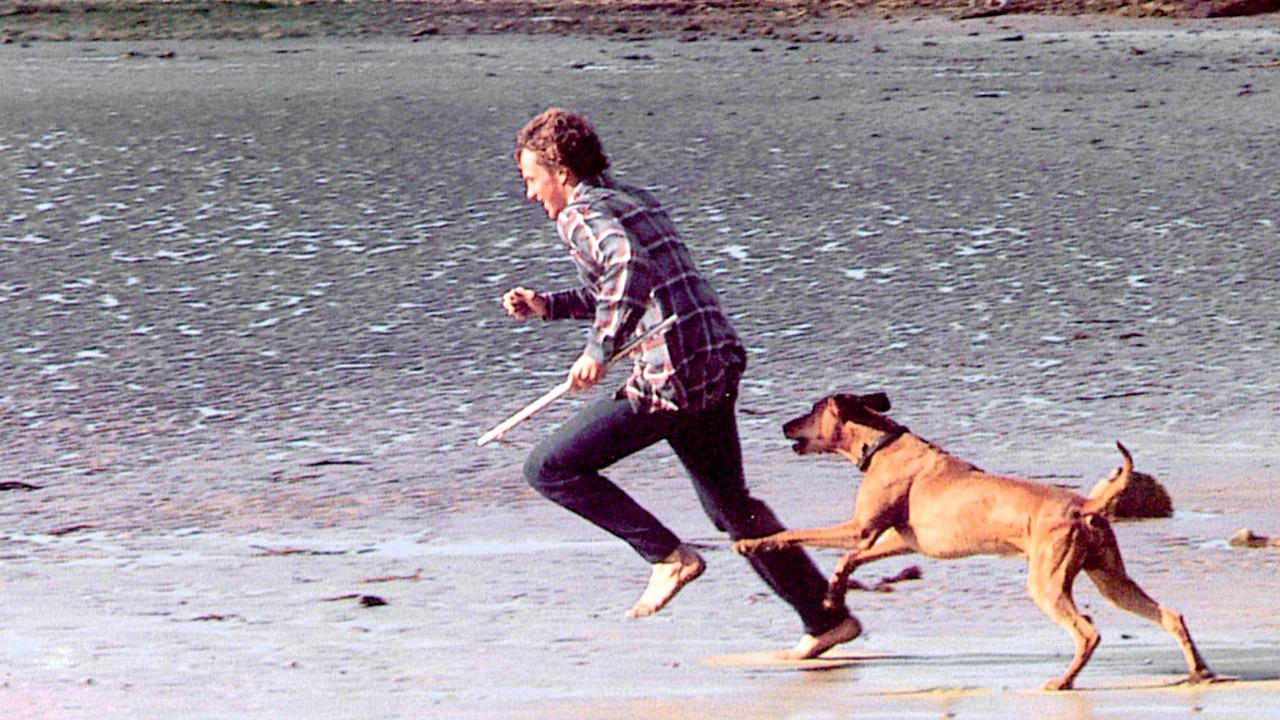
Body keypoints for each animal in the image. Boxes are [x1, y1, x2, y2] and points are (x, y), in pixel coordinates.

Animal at [734, 392, 1214, 691]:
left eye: (812, 410)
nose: (783, 425)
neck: (882, 442)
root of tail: (1086, 505)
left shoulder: (860, 527)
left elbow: (798, 534)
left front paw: (755, 544)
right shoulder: (902, 540)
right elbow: (848, 560)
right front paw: (833, 593)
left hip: (1047, 584)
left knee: (1088, 632)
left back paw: (1063, 681)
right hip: (1112, 581)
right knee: (1170, 615)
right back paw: (1200, 671)